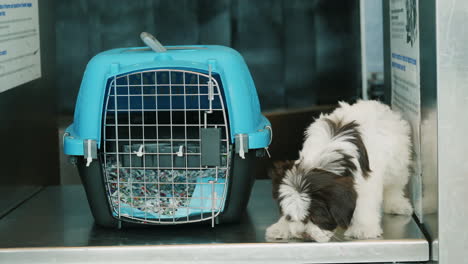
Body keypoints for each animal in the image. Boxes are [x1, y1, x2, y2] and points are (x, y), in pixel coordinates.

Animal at [266, 100, 414, 242]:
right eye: (290, 217)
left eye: (317, 217)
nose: (302, 234)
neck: (325, 158)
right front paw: (281, 227)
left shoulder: (365, 181)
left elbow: (365, 203)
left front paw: (363, 228)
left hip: (398, 162)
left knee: (395, 186)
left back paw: (396, 204)